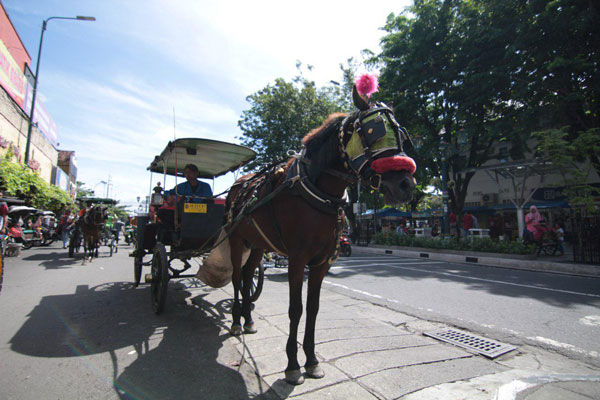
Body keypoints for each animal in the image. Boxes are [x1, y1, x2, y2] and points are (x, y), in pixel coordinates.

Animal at [223, 86, 414, 384]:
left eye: (403, 135)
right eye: (374, 131)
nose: (406, 184)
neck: (317, 191)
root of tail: (240, 185)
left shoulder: (322, 262)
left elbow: (313, 309)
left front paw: (311, 361)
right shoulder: (296, 259)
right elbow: (296, 309)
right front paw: (292, 365)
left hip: (256, 245)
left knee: (246, 276)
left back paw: (248, 320)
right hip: (234, 240)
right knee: (234, 278)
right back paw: (234, 322)